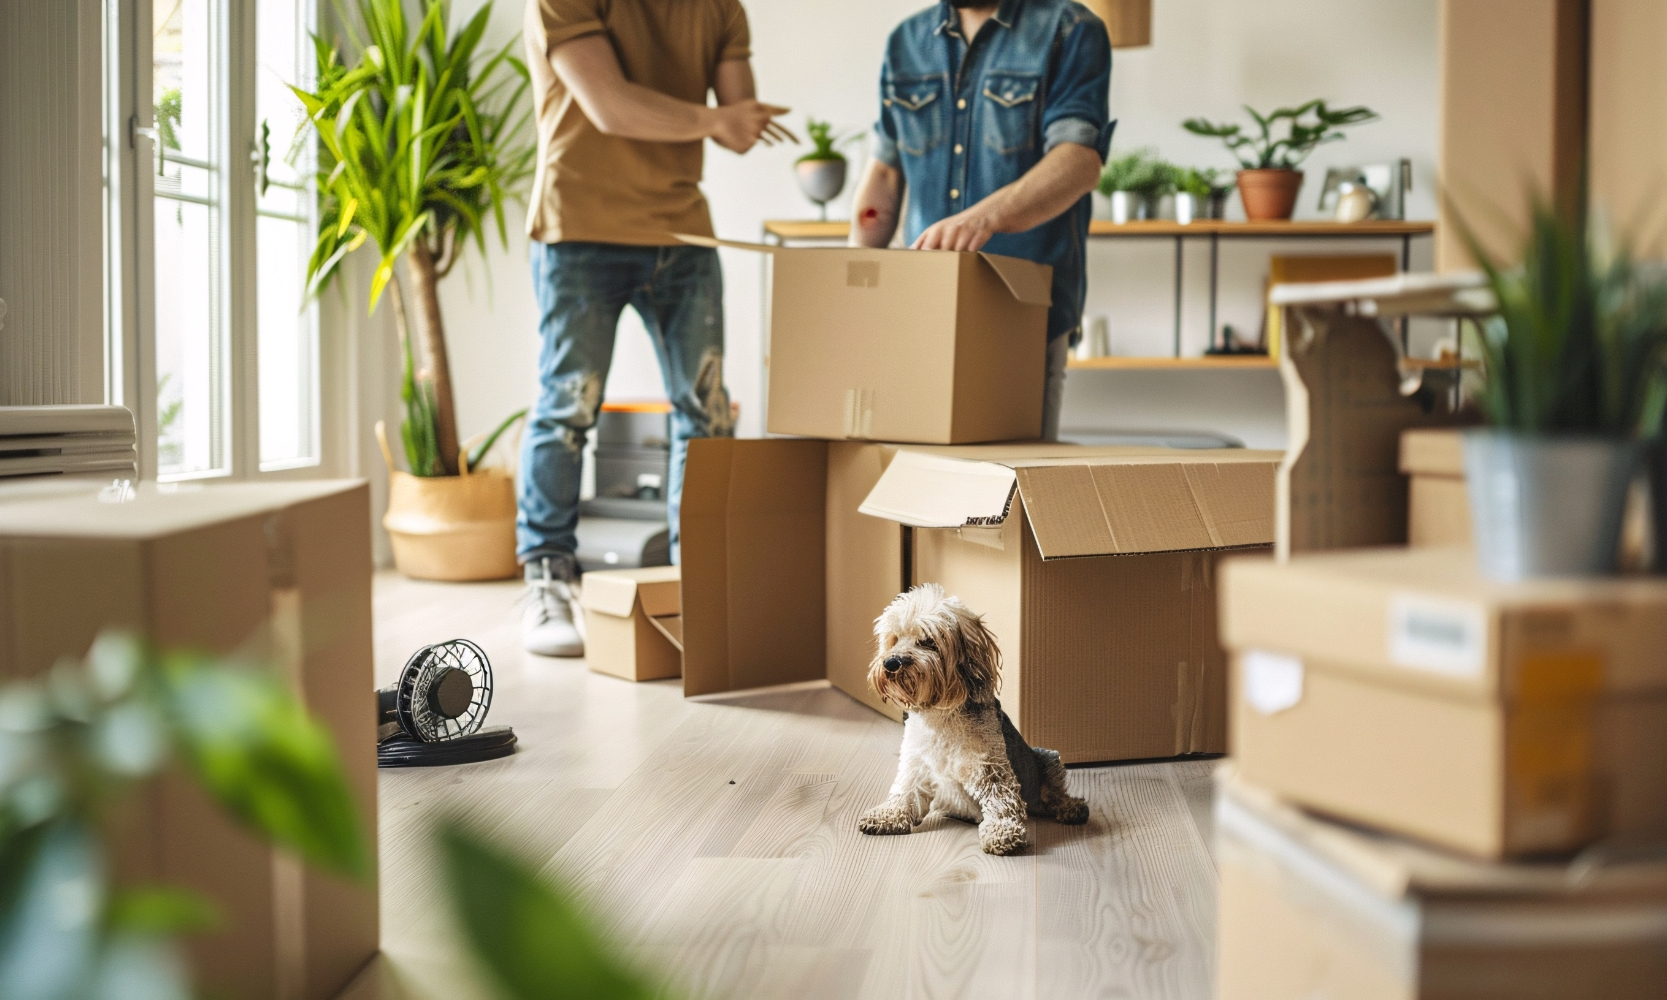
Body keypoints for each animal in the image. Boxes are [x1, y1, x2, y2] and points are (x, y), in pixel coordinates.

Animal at [860, 583, 1093, 853]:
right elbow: (904, 791)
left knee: (1054, 795)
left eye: (928, 641)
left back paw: (1072, 807)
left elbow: (1001, 801)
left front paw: (1003, 832)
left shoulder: (990, 767)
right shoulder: (915, 763)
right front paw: (887, 815)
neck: (940, 716)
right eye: (895, 639)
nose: (891, 663)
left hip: (1048, 758)